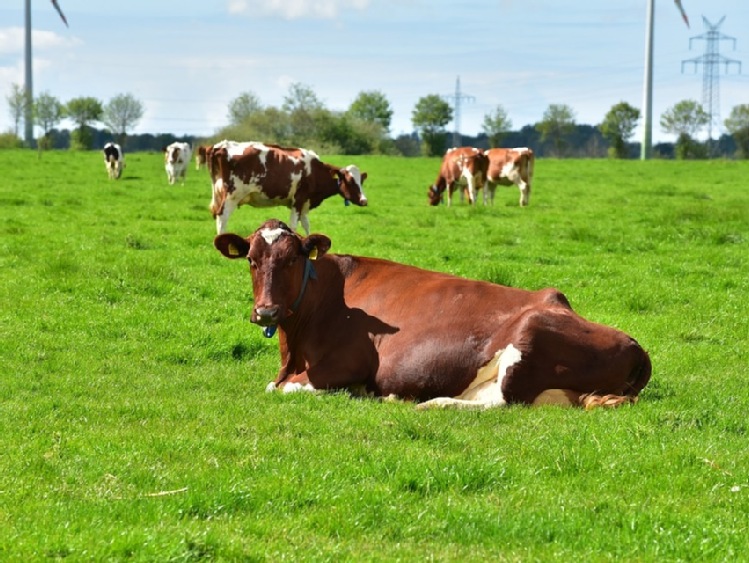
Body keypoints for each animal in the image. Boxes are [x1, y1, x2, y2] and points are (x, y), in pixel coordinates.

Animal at [207, 143, 368, 238]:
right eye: (350, 181)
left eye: (361, 181)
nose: (364, 201)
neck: (315, 171)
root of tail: (222, 146)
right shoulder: (299, 199)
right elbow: (293, 225)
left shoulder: (305, 203)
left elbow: (306, 224)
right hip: (232, 196)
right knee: (222, 217)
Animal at [213, 220, 652, 410]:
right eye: (252, 260)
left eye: (292, 259)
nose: (266, 310)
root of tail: (636, 345)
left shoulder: (345, 365)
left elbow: (282, 388)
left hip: (529, 335)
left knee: (502, 401)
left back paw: (432, 404)